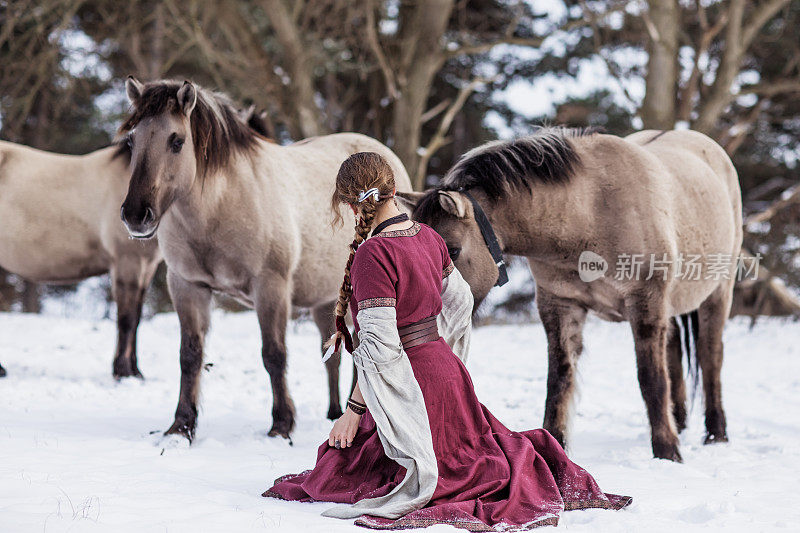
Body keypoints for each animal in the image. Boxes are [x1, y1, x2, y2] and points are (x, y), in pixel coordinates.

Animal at [0, 139, 162, 376]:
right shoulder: (128, 262)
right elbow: (127, 318)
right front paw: (123, 371)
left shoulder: (147, 266)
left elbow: (137, 317)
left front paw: (135, 371)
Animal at [119, 76, 412, 440]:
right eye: (131, 140)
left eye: (177, 141)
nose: (135, 215)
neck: (220, 205)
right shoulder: (187, 286)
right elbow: (190, 355)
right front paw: (181, 426)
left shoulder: (270, 286)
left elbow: (274, 354)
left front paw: (281, 424)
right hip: (328, 299)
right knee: (336, 354)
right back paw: (334, 412)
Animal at [400, 129, 744, 462]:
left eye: (452, 250)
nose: (432, 319)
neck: (590, 210)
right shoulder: (561, 305)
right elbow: (560, 377)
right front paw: (556, 444)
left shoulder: (645, 302)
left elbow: (651, 377)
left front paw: (667, 451)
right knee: (674, 353)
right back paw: (680, 422)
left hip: (717, 295)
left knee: (710, 357)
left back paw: (716, 433)